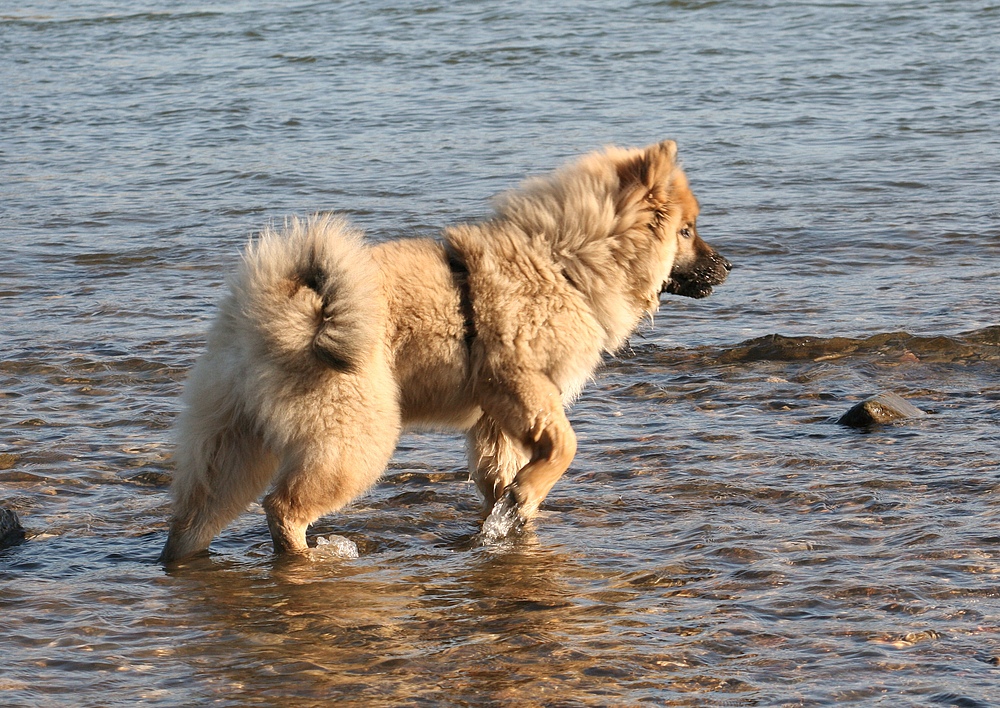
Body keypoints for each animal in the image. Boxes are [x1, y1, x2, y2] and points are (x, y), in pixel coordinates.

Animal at [160, 141, 732, 560]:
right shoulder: (519, 385)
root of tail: (266, 309)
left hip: (233, 443)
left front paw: (512, 518)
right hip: (356, 438)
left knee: (195, 514)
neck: (564, 260)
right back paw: (307, 556)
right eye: (686, 230)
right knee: (282, 507)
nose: (727, 266)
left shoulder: (494, 422)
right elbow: (565, 447)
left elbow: (502, 479)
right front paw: (527, 493)